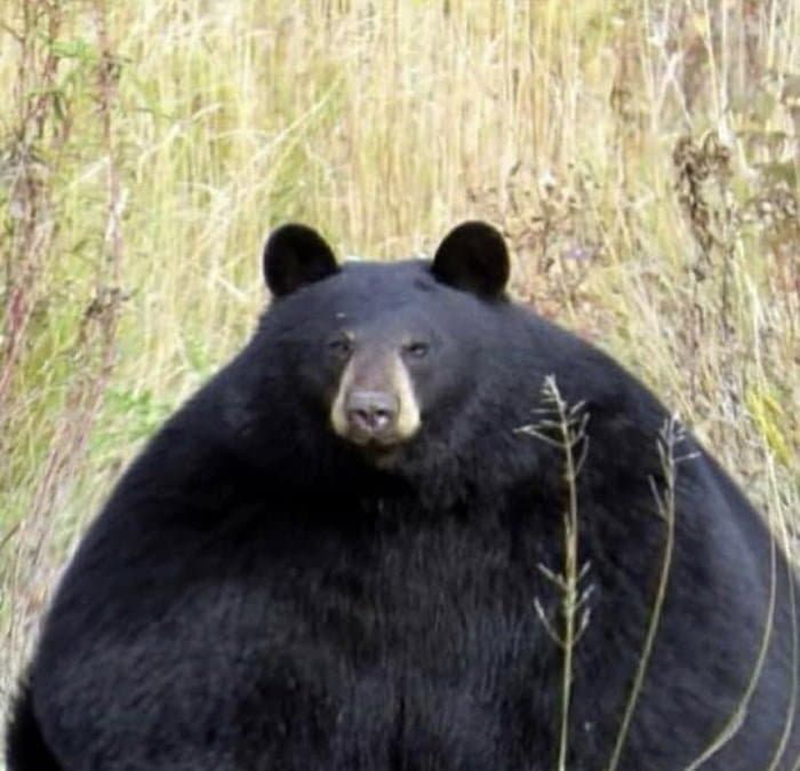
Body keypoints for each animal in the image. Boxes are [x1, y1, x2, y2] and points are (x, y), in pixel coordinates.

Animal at [7, 220, 800, 768]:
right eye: (337, 343)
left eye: (419, 346)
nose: (371, 411)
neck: (404, 495)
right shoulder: (223, 510)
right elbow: (162, 677)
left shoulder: (606, 501)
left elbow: (664, 667)